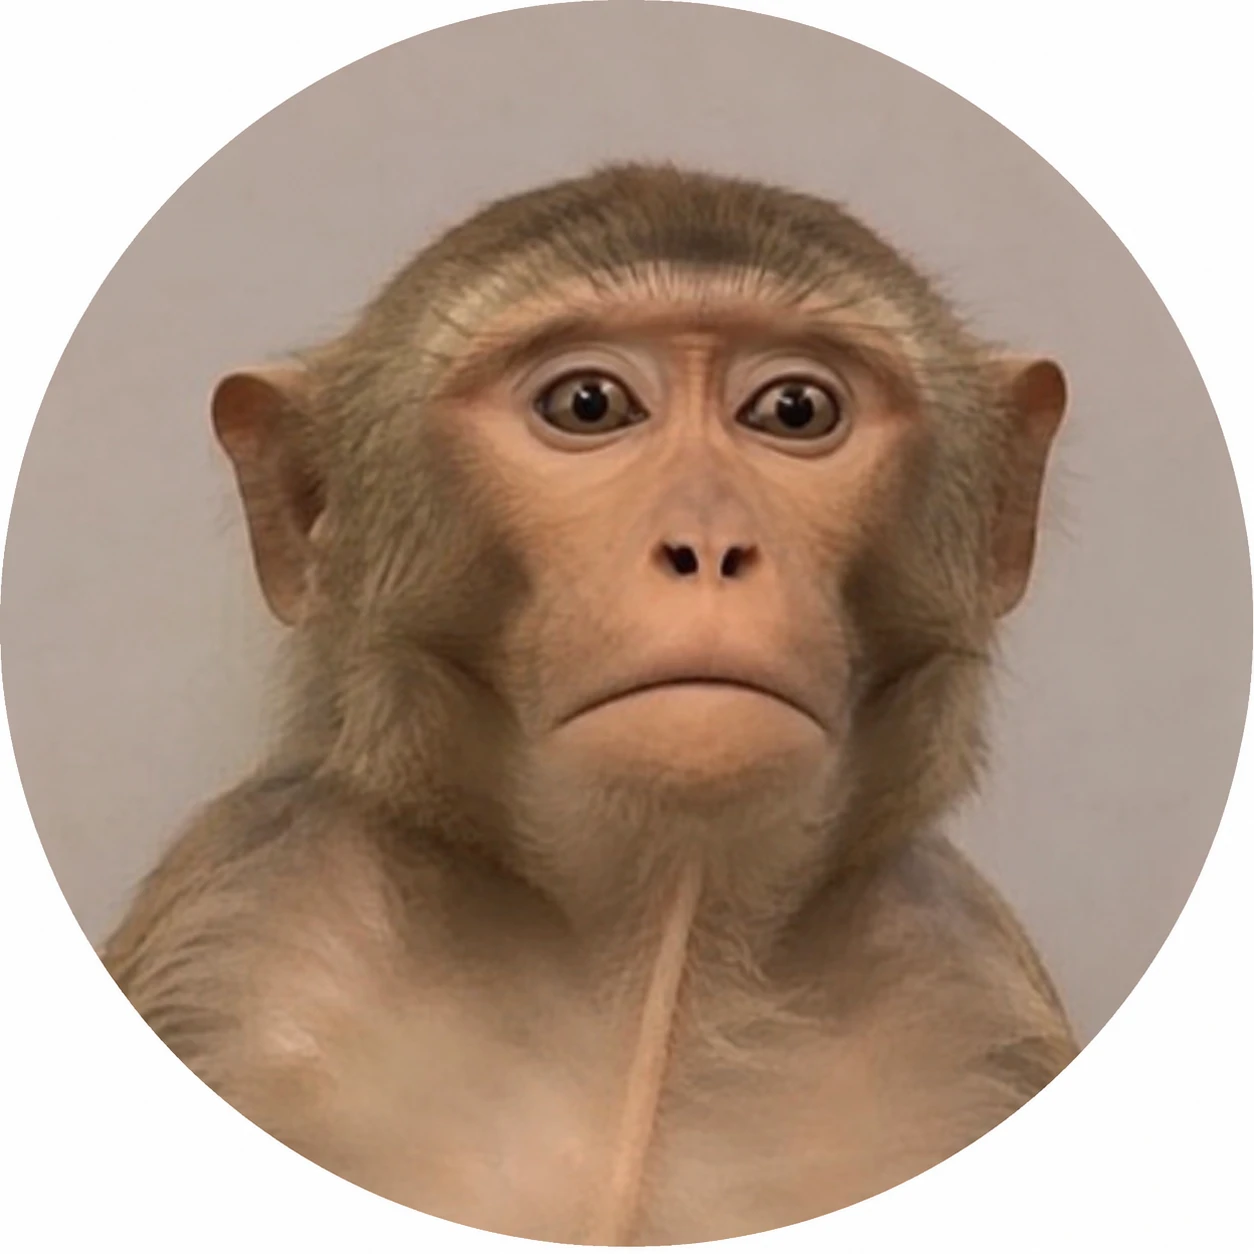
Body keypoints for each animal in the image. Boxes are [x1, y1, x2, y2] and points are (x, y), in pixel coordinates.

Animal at [101, 163, 1075, 1246]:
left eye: (794, 410)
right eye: (588, 403)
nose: (707, 547)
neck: (656, 957)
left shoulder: (972, 1007)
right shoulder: (242, 942)